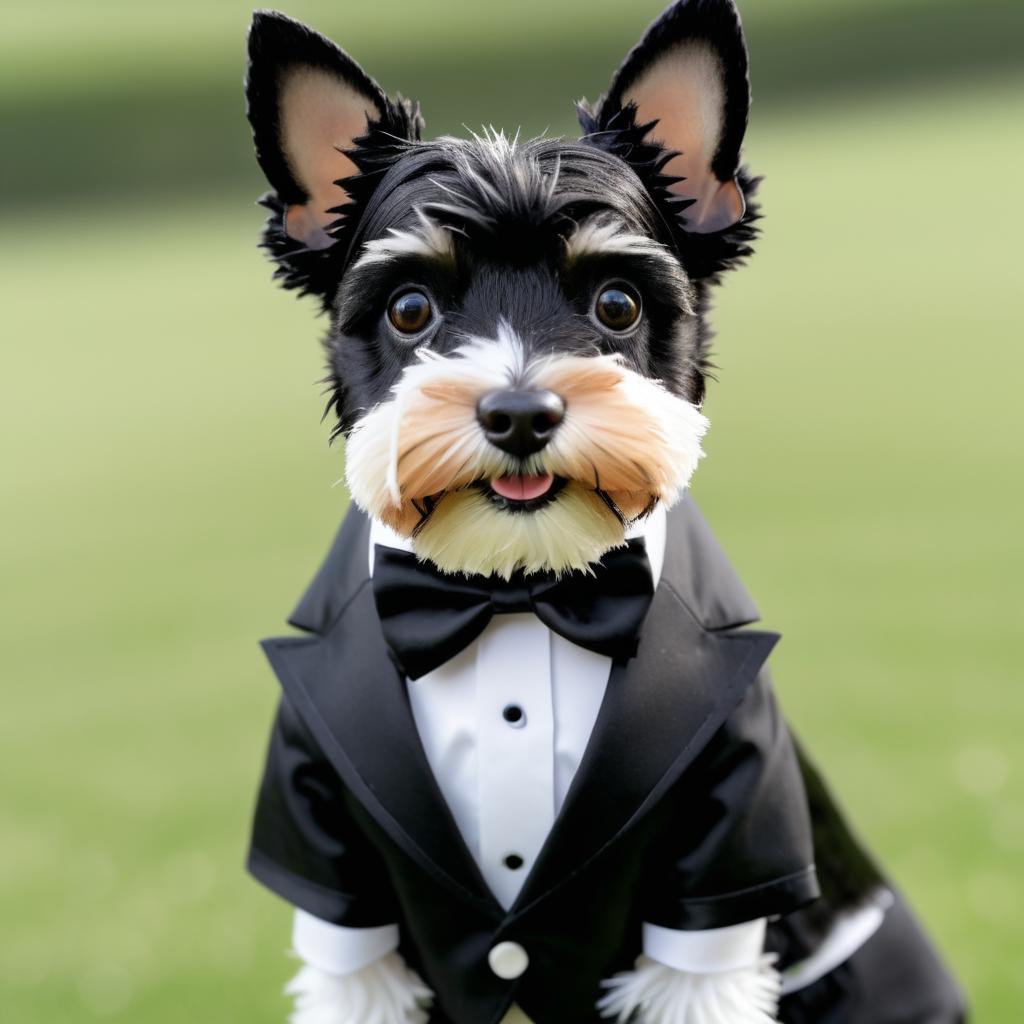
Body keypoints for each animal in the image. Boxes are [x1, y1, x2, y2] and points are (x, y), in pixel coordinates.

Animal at [243, 2, 962, 1024]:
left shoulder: (720, 882)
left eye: (617, 302)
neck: (517, 593)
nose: (518, 414)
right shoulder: (337, 891)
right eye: (410, 308)